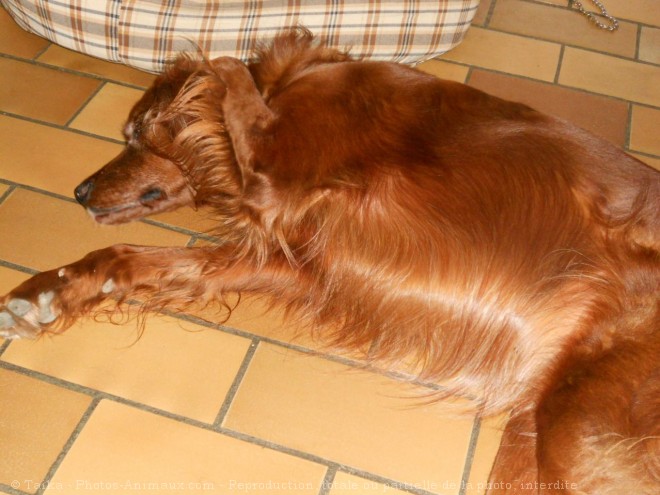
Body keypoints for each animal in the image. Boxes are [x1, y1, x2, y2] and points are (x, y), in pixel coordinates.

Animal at [1, 29, 660, 494]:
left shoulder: (276, 178)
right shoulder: (289, 261)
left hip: (578, 423)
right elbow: (130, 259)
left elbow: (230, 73)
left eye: (136, 133)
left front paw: (223, 71)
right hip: (533, 440)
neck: (290, 87)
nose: (80, 191)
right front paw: (46, 293)